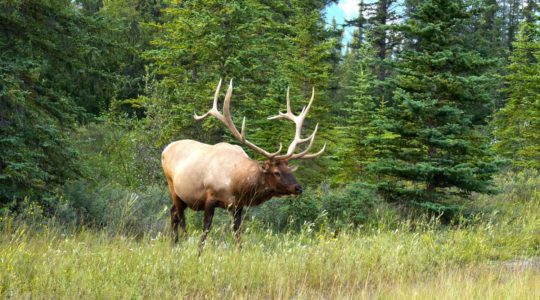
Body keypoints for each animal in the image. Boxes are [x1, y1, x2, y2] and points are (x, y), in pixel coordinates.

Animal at [161, 79, 324, 251]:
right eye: (276, 172)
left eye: (289, 170)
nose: (298, 188)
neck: (237, 184)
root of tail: (165, 149)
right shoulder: (210, 198)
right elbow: (205, 231)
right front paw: (198, 253)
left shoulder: (237, 206)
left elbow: (238, 233)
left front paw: (239, 251)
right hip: (173, 188)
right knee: (180, 218)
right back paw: (179, 244)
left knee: (173, 213)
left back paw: (173, 246)